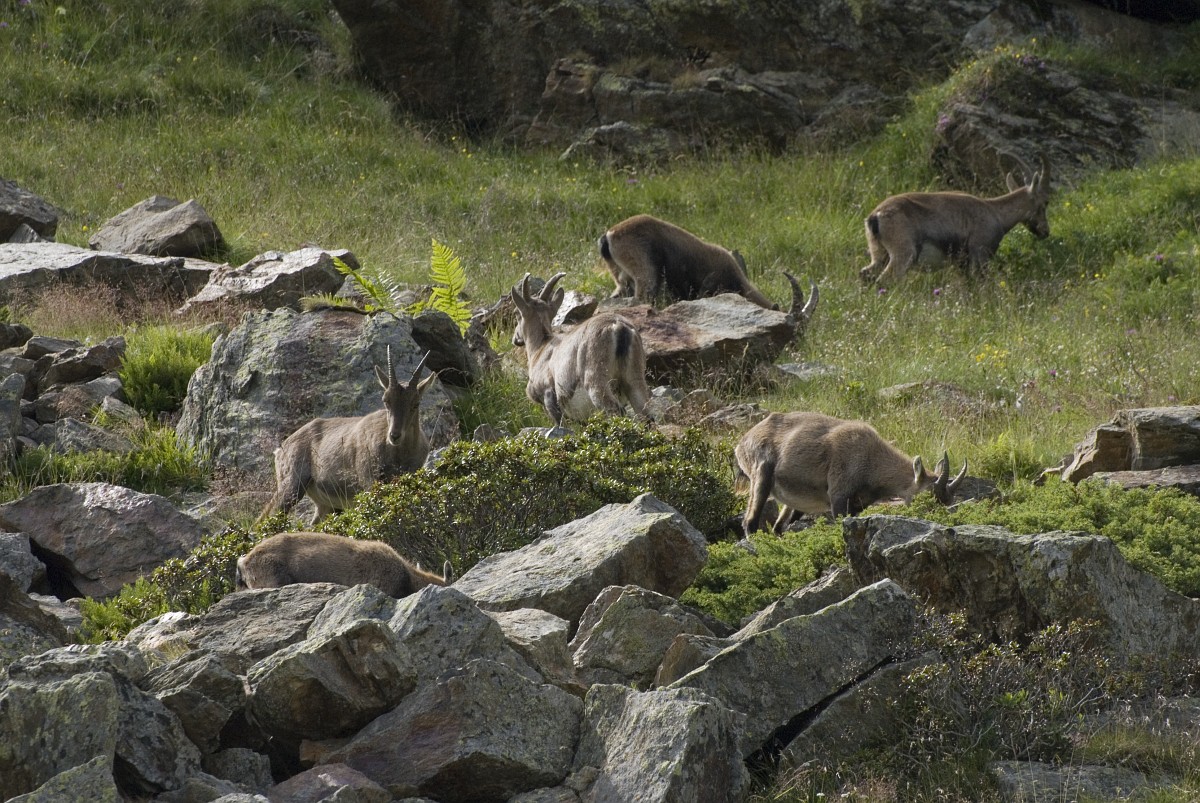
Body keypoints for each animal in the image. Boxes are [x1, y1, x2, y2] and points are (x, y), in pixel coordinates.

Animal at [259, 346, 436, 526]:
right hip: (291, 486)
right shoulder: (369, 481)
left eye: (416, 403)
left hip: (326, 505)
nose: (394, 436)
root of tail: (281, 449)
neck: (399, 455)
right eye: (386, 400)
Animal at [511, 272, 651, 428]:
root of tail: (619, 326)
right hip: (634, 379)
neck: (540, 348)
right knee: (646, 415)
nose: (515, 338)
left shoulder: (549, 396)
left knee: (614, 410)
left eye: (516, 313)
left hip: (596, 380)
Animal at [735, 411, 967, 536]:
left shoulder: (857, 506)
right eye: (926, 496)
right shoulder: (839, 495)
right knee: (750, 522)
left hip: (792, 501)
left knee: (777, 527)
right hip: (761, 473)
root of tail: (743, 441)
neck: (870, 458)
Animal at [859, 156, 1052, 286]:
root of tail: (875, 216)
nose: (1045, 232)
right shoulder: (980, 254)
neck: (994, 211)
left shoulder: (962, 264)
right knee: (884, 279)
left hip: (879, 253)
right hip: (903, 253)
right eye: (1045, 202)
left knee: (866, 273)